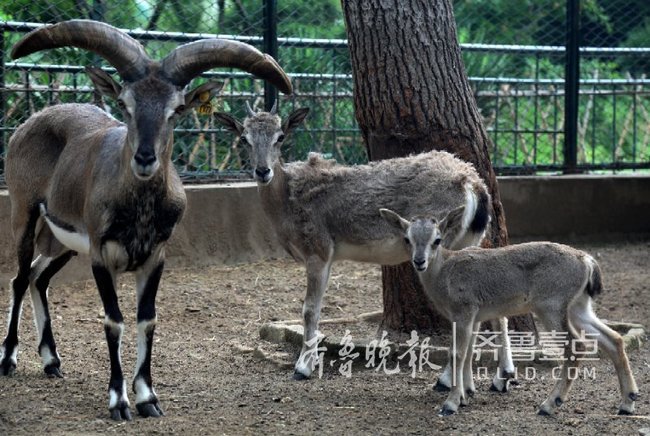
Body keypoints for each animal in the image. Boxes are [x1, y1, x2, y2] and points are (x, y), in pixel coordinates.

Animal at [0, 19, 290, 418]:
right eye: (125, 103)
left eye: (177, 109)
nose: (145, 157)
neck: (139, 210)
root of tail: (28, 124)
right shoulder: (102, 254)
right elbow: (114, 321)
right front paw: (119, 401)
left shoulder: (155, 256)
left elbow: (147, 319)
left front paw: (148, 398)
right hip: (24, 213)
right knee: (18, 278)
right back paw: (9, 360)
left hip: (63, 241)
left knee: (37, 278)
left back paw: (51, 361)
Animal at [215, 105, 512, 388]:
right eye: (244, 138)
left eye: (280, 136)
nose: (262, 171)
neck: (285, 204)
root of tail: (475, 185)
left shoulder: (318, 249)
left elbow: (310, 310)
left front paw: (302, 369)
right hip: (471, 241)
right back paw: (502, 377)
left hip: (441, 245)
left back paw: (446, 380)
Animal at [380, 206, 636, 418]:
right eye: (407, 238)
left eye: (437, 239)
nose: (419, 261)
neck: (444, 274)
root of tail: (588, 261)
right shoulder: (475, 315)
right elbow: (469, 351)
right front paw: (465, 395)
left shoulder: (464, 309)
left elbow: (457, 353)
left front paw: (451, 403)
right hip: (579, 306)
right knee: (613, 338)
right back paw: (628, 402)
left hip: (551, 306)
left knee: (577, 347)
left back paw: (549, 404)